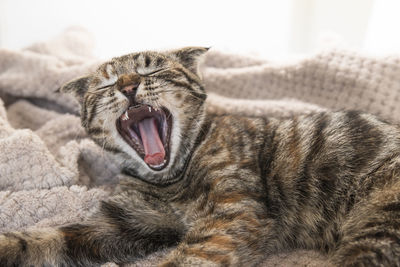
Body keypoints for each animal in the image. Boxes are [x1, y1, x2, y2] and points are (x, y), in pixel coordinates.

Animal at [0, 47, 400, 266]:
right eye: (106, 84)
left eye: (152, 69)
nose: (128, 85)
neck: (170, 178)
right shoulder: (127, 223)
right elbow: (41, 239)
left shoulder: (233, 214)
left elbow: (191, 258)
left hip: (379, 225)